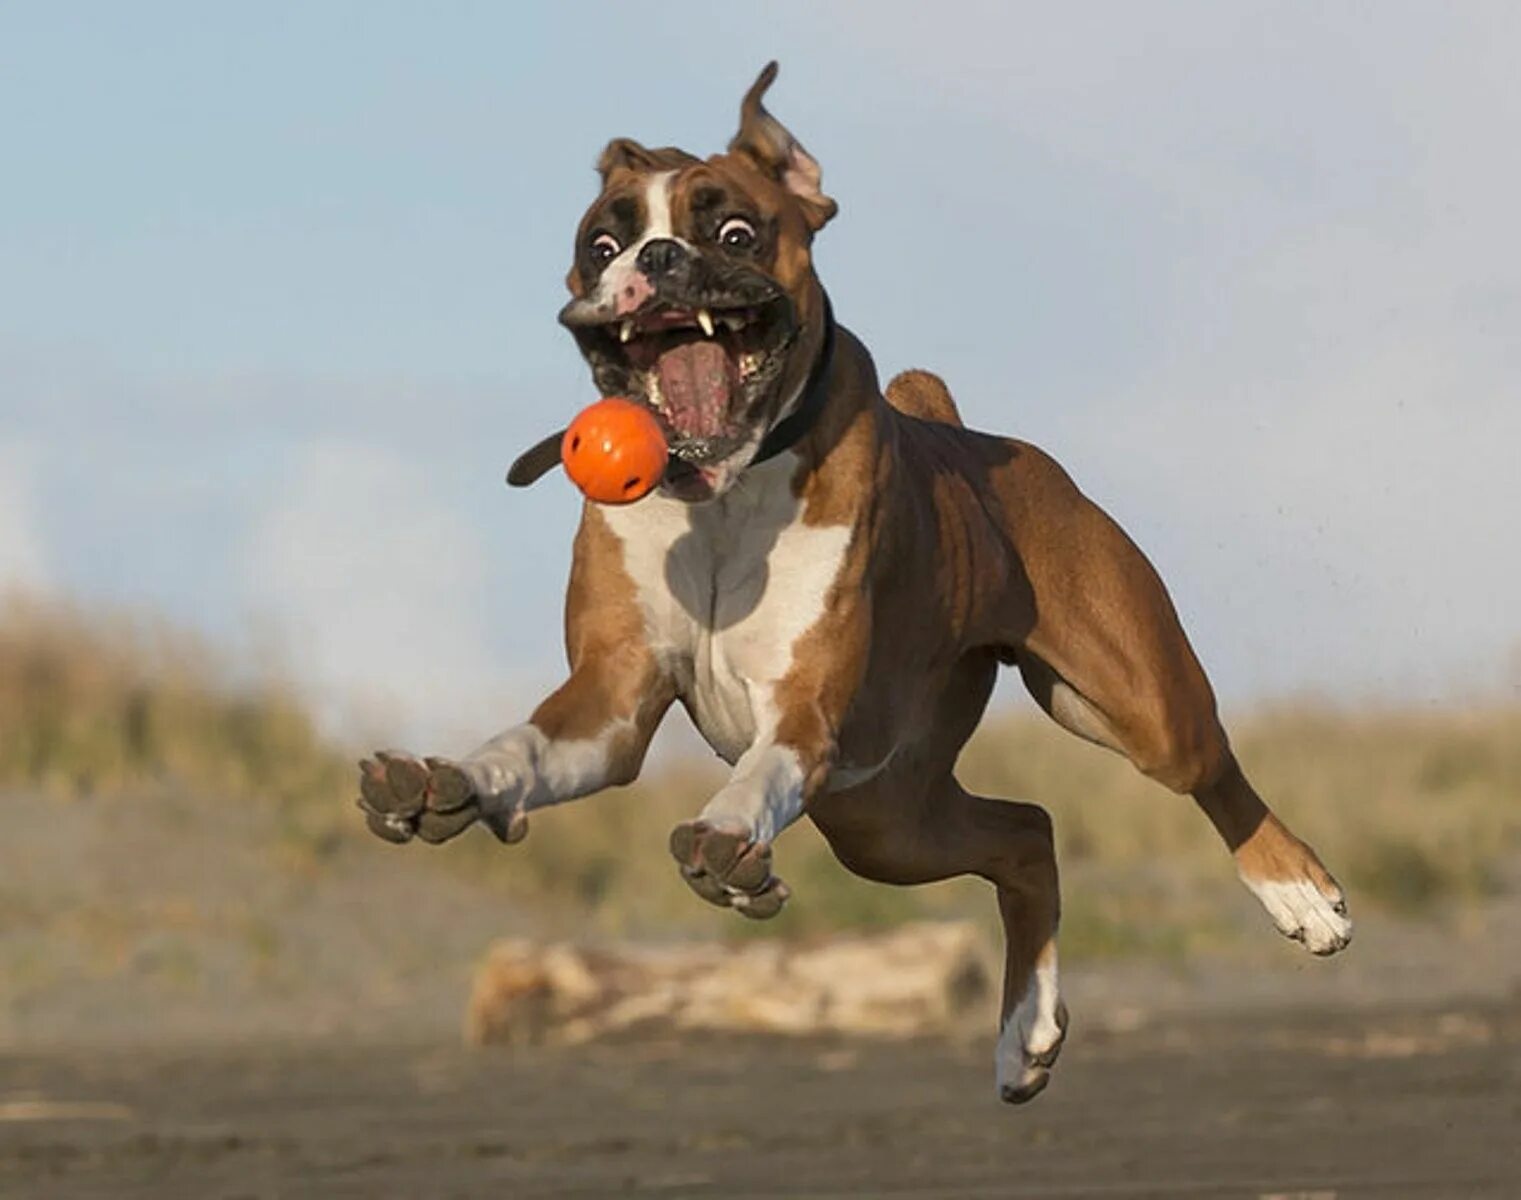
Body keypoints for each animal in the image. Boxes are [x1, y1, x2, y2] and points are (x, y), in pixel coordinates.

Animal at [358, 60, 1356, 1101]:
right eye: (603, 243)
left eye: (734, 233)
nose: (658, 259)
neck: (722, 494)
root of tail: (965, 429)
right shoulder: (611, 699)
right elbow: (526, 745)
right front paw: (450, 780)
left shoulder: (800, 713)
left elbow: (757, 776)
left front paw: (726, 839)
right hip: (885, 819)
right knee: (1026, 833)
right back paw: (1024, 1031)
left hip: (1128, 706)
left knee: (1206, 769)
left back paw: (1298, 893)